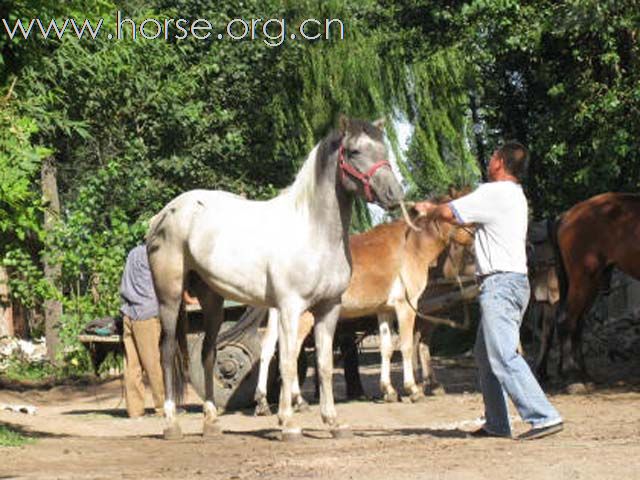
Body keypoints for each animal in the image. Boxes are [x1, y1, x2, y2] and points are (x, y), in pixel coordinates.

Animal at [148, 115, 402, 438]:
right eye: (354, 151)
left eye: (384, 150)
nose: (394, 195)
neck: (314, 231)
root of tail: (163, 215)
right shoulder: (291, 308)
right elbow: (288, 363)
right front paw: (288, 423)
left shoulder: (329, 308)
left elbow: (323, 364)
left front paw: (333, 422)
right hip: (169, 297)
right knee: (166, 352)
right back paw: (171, 423)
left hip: (212, 300)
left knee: (207, 353)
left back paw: (212, 421)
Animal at [548, 191, 640, 386]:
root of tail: (567, 215)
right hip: (583, 280)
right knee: (567, 320)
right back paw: (571, 376)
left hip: (592, 283)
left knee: (577, 323)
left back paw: (583, 374)